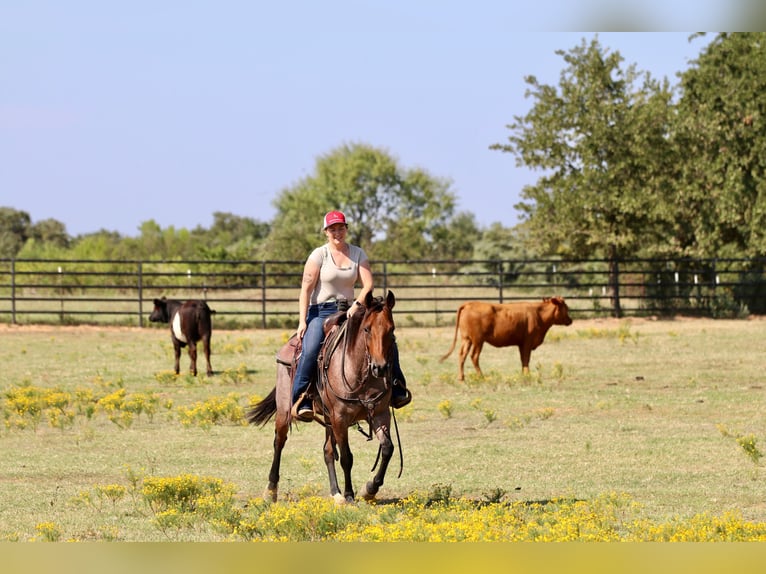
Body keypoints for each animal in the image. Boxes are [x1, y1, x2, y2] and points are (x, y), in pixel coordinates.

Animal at [246, 290, 398, 504]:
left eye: (391, 329)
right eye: (367, 329)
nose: (380, 367)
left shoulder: (380, 414)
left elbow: (387, 448)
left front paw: (369, 489)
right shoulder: (340, 418)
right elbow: (347, 457)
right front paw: (350, 495)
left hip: (327, 417)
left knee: (327, 450)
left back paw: (336, 493)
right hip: (285, 410)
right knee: (279, 441)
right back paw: (271, 491)